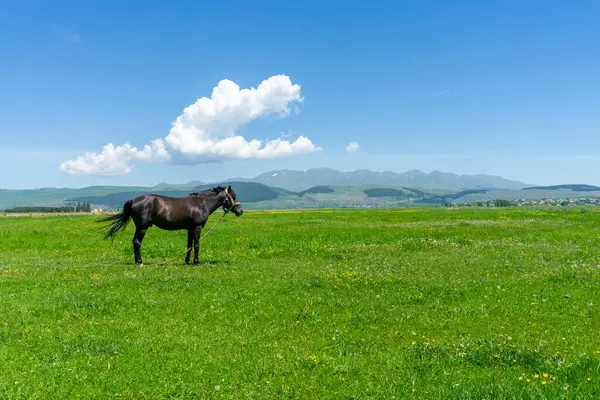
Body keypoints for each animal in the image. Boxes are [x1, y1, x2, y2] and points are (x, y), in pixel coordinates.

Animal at [99, 184, 243, 266]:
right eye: (234, 196)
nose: (240, 211)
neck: (201, 204)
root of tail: (133, 200)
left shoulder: (190, 229)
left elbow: (189, 245)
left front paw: (187, 261)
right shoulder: (197, 227)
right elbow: (196, 245)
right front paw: (196, 262)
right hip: (142, 227)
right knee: (137, 242)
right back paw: (139, 262)